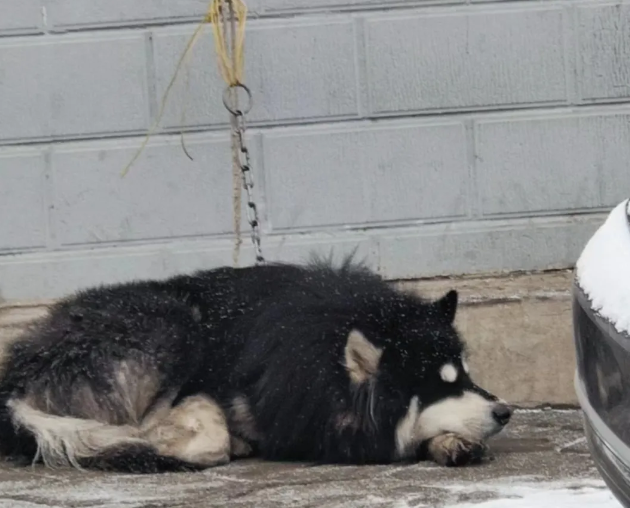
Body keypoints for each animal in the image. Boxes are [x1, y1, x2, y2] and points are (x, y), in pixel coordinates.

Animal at [0, 260, 512, 474]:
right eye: (439, 385)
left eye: (466, 375)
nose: (505, 411)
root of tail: (17, 372)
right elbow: (207, 432)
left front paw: (452, 443)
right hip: (174, 323)